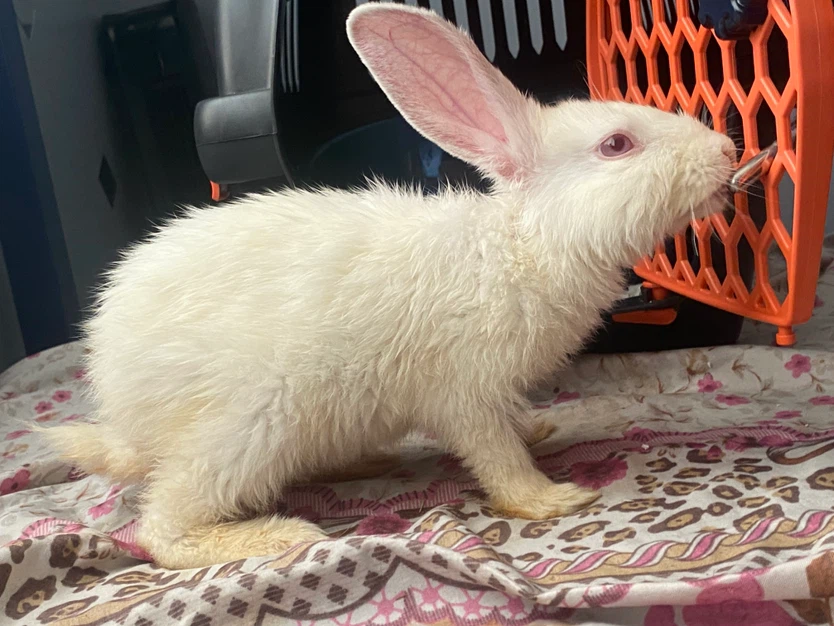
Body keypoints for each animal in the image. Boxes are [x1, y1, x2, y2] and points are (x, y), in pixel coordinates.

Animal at [44, 2, 736, 570]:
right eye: (616, 144)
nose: (727, 150)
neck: (522, 244)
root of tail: (121, 412)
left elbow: (512, 428)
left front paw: (538, 429)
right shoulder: (464, 392)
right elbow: (496, 457)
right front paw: (550, 499)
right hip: (248, 426)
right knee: (160, 526)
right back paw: (275, 536)